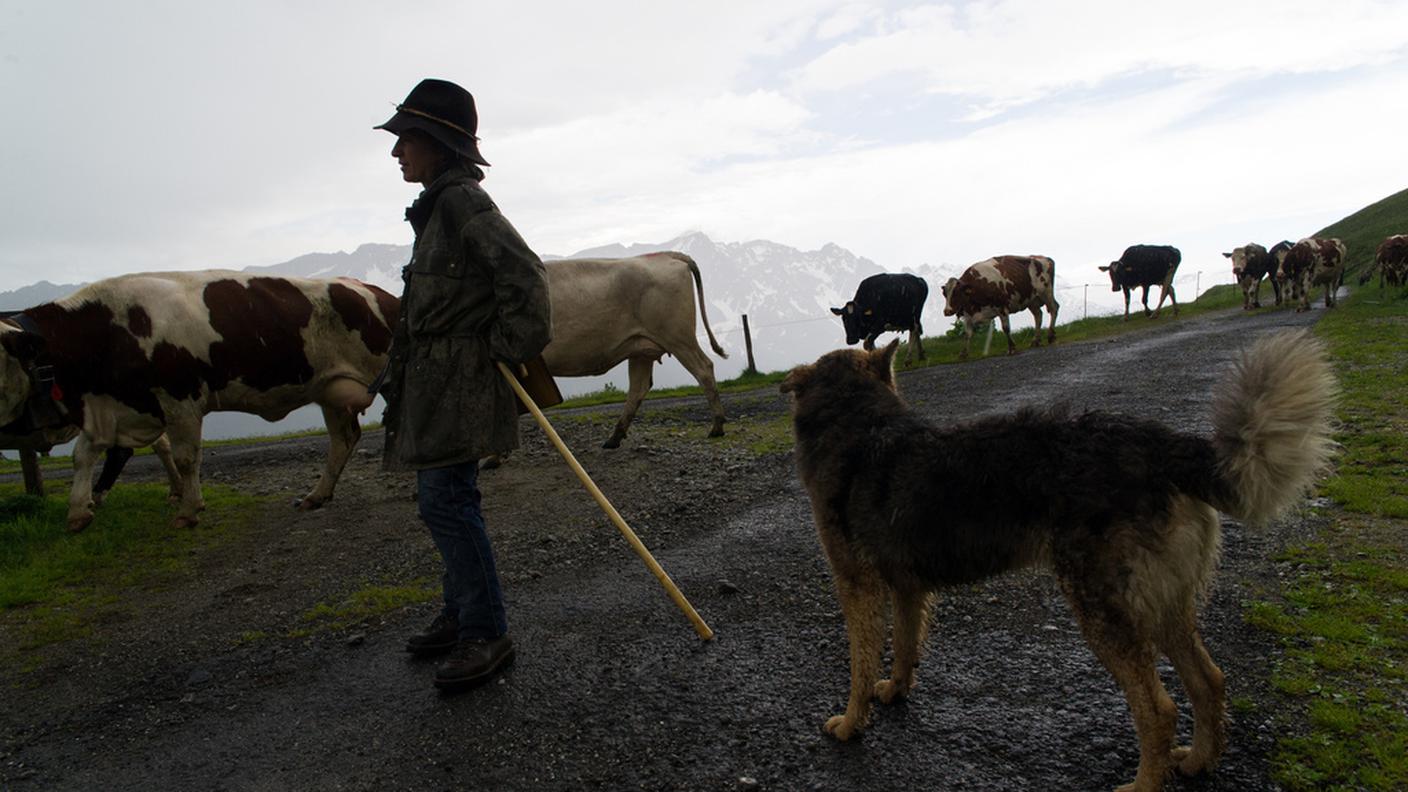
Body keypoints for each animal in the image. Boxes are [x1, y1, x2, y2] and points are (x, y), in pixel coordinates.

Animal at [0, 270, 399, 529]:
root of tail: (380, 293)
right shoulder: (113, 408)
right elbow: (83, 455)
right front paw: (78, 512)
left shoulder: (181, 399)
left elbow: (186, 457)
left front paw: (189, 510)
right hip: (331, 390)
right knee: (343, 439)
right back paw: (317, 495)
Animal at [782, 329, 1340, 783]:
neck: (859, 423)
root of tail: (1158, 443)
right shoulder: (906, 586)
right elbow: (904, 646)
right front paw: (896, 691)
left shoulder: (858, 586)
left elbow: (859, 665)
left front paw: (850, 724)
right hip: (1161, 605)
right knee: (1209, 681)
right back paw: (1200, 760)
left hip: (1102, 608)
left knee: (1158, 709)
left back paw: (1143, 784)